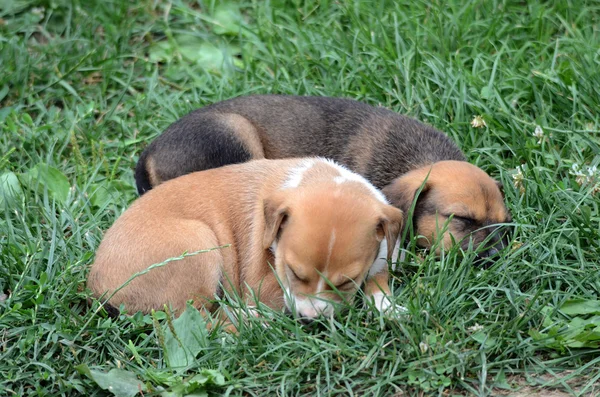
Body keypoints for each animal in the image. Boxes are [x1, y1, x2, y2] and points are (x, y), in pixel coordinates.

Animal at [88, 158, 404, 322]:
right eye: (293, 272)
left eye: (345, 282)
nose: (308, 319)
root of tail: (96, 287)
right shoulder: (262, 284)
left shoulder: (381, 255)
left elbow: (378, 280)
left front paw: (390, 308)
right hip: (198, 243)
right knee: (195, 319)